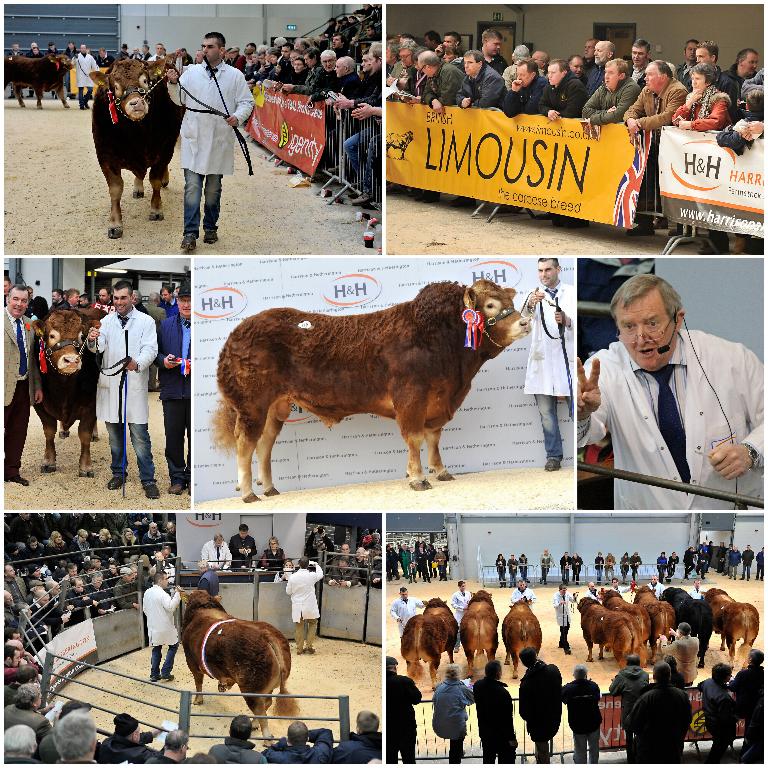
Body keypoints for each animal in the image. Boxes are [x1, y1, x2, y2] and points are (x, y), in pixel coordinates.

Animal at [31, 306, 105, 474]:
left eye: (82, 336)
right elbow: (49, 431)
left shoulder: (91, 403)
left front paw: (86, 466)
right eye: (52, 335)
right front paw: (48, 461)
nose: (71, 360)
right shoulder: (39, 404)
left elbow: (84, 433)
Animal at [89, 58, 184, 238]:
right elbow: (115, 189)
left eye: (145, 81)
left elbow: (155, 180)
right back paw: (138, 188)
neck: (136, 133)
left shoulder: (164, 148)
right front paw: (115, 223)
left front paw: (156, 209)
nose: (136, 103)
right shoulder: (105, 155)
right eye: (115, 87)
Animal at [182, 592, 298, 740]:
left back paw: (266, 737)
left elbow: (198, 682)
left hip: (251, 689)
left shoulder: (191, 662)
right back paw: (254, 724)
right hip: (267, 686)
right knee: (266, 703)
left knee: (260, 709)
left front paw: (198, 700)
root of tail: (266, 634)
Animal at [213, 280, 532, 500]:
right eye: (490, 305)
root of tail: (236, 334)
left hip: (273, 409)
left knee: (264, 444)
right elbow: (415, 438)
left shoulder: (436, 403)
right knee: (246, 443)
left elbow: (433, 439)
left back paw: (269, 488)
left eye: (509, 300)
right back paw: (247, 493)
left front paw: (440, 471)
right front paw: (418, 478)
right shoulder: (411, 398)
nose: (525, 322)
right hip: (251, 405)